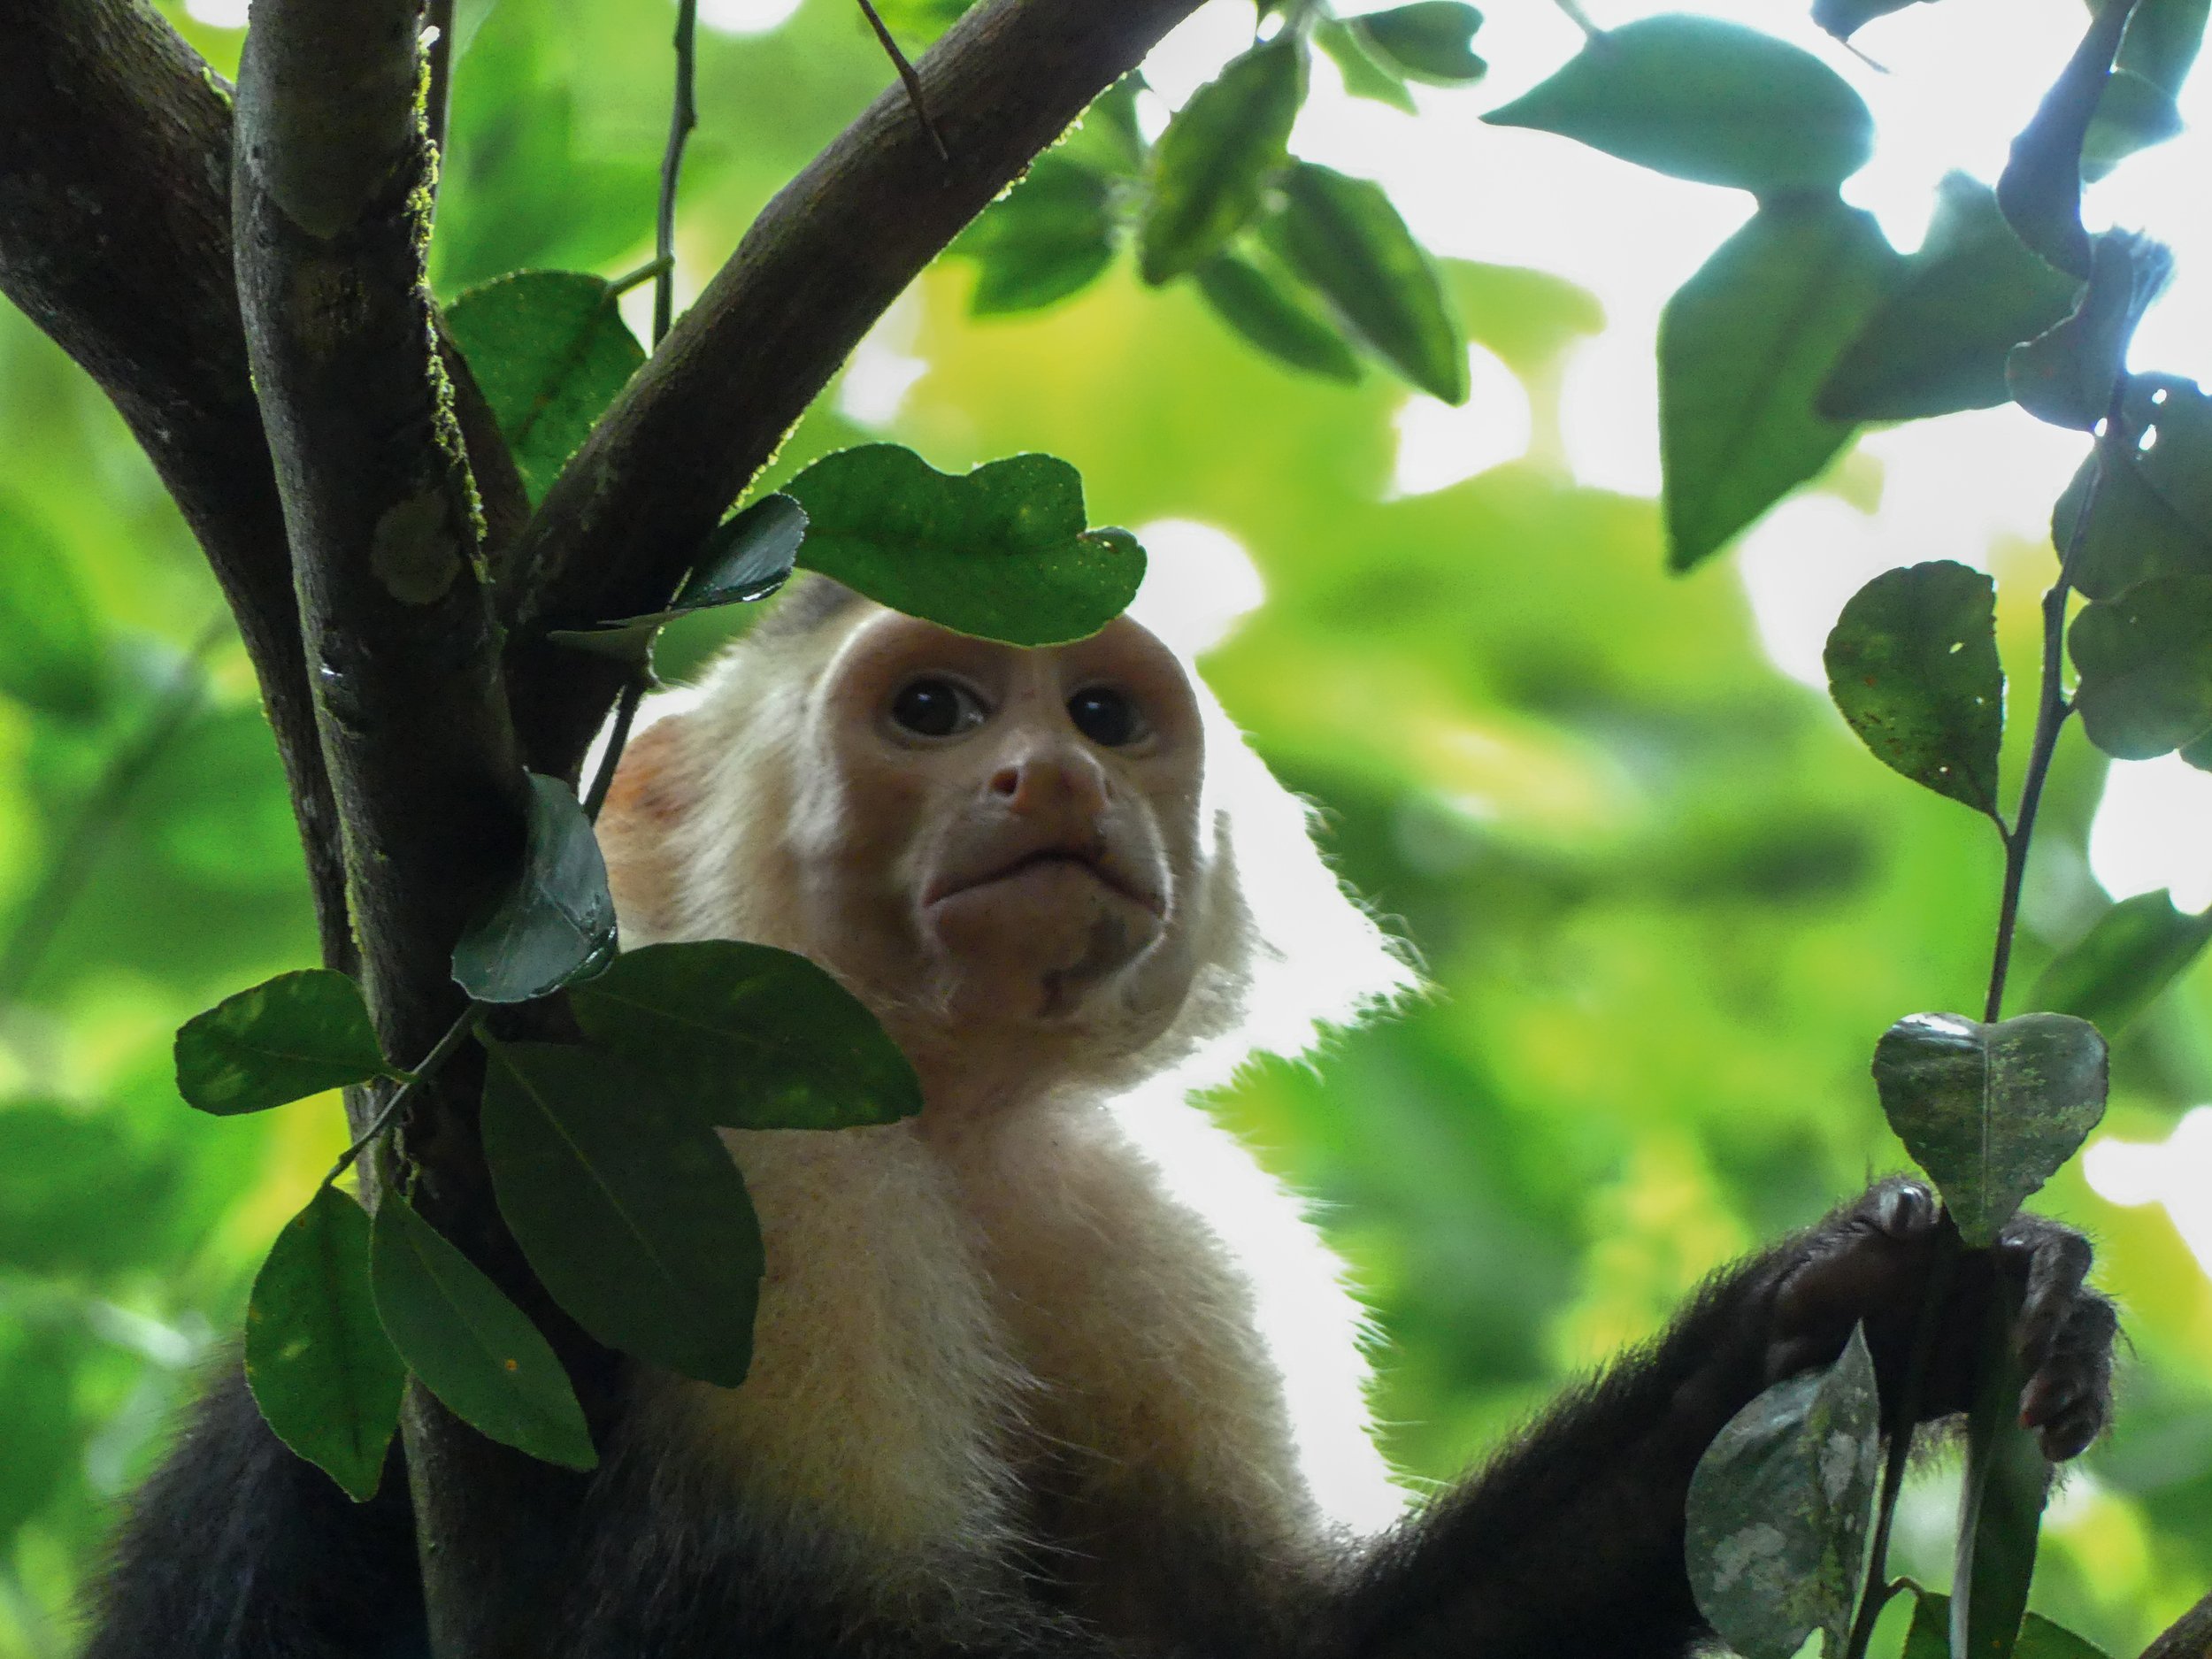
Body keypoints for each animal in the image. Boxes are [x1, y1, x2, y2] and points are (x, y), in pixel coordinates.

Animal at [83, 574, 2118, 1659]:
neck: (948, 1109)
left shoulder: (1153, 1230)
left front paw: (1881, 1306)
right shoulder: (737, 1157)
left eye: (1104, 717)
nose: (1053, 775)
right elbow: (753, 1622)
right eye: (931, 705)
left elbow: (1296, 1637)